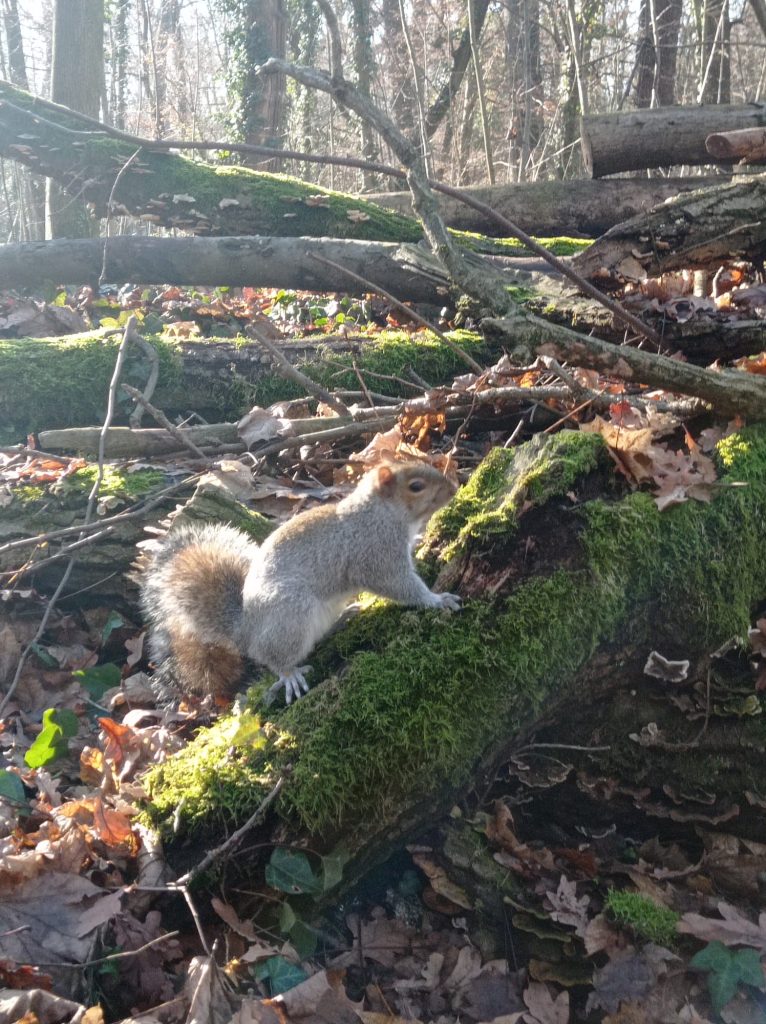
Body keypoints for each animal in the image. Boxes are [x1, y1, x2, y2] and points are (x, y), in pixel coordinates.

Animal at [139, 461, 461, 705]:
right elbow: (398, 584)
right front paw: (437, 599)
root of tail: (245, 631)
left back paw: (344, 617)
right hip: (292, 613)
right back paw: (289, 674)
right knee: (272, 656)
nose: (454, 488)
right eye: (416, 486)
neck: (380, 512)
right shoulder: (374, 552)